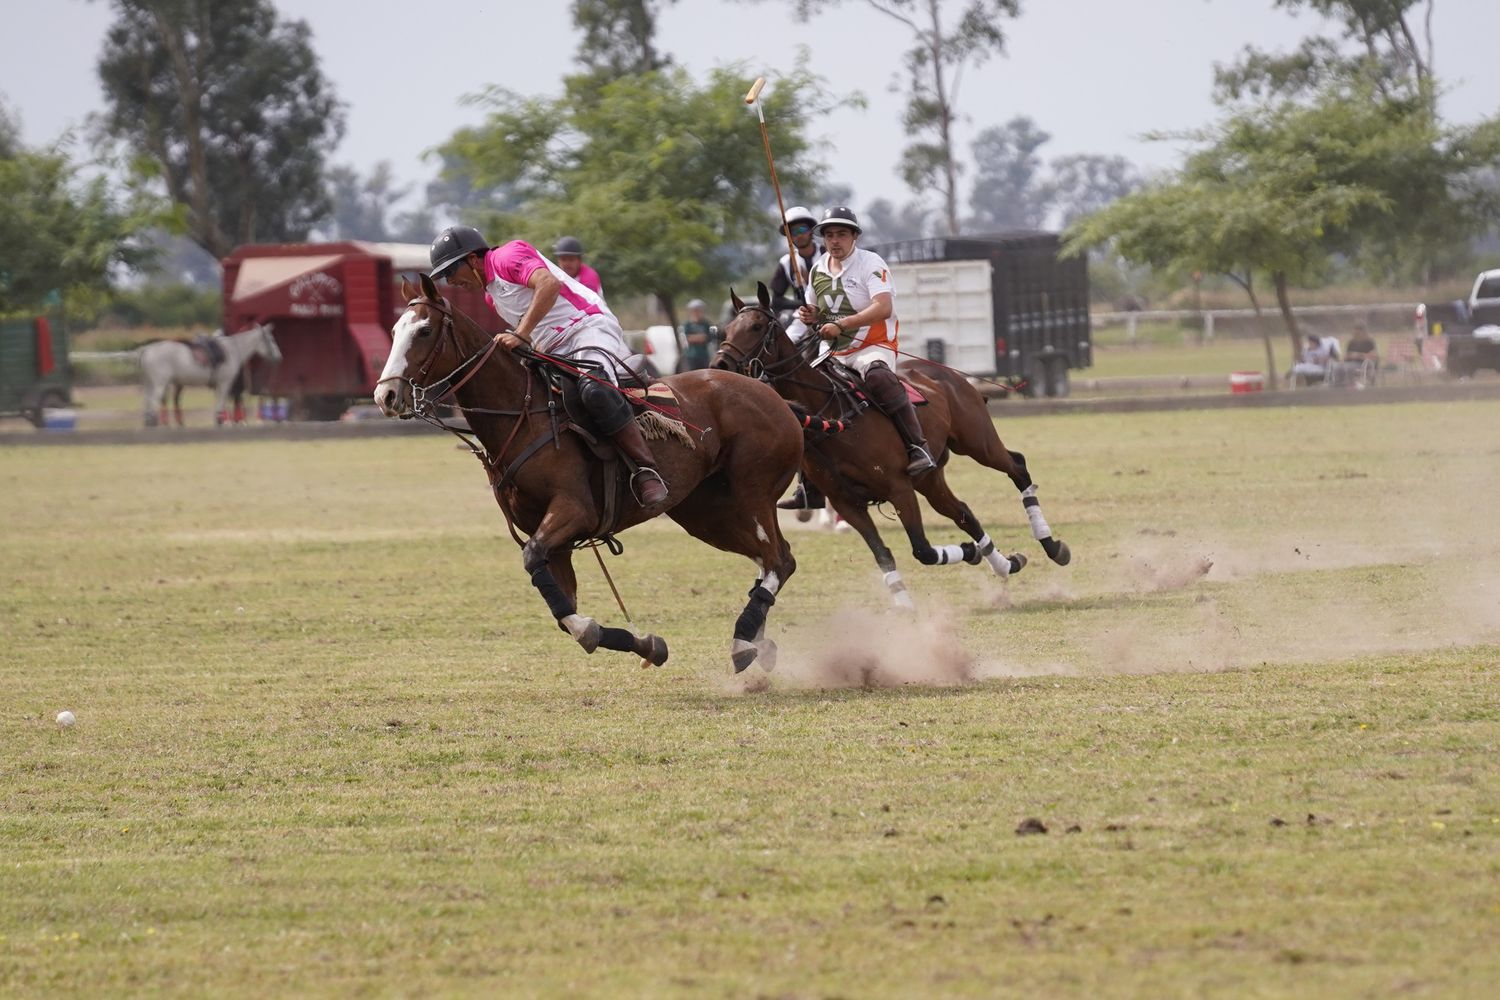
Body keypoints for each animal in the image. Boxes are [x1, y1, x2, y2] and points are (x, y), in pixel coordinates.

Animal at [141, 325, 282, 425]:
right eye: (271, 339)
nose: (279, 357)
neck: (233, 350)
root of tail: (147, 350)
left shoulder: (221, 386)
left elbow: (220, 404)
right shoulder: (225, 384)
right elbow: (221, 405)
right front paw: (221, 422)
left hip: (150, 384)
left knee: (149, 404)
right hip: (160, 384)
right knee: (155, 403)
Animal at [375, 277, 810, 677]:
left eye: (424, 330)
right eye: (394, 331)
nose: (386, 396)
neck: (521, 414)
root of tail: (773, 395)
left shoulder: (573, 510)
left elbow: (537, 567)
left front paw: (599, 632)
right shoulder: (554, 540)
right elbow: (561, 608)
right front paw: (646, 644)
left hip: (752, 491)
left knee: (778, 558)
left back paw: (743, 643)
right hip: (705, 511)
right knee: (771, 559)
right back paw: (760, 644)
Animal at [711, 281, 1074, 611]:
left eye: (757, 327)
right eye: (725, 329)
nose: (720, 366)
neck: (830, 411)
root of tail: (949, 375)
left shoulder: (898, 488)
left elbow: (922, 549)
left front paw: (968, 554)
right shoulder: (847, 502)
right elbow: (883, 554)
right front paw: (904, 604)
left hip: (977, 442)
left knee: (1017, 466)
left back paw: (1052, 546)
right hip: (930, 479)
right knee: (964, 513)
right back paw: (1006, 563)